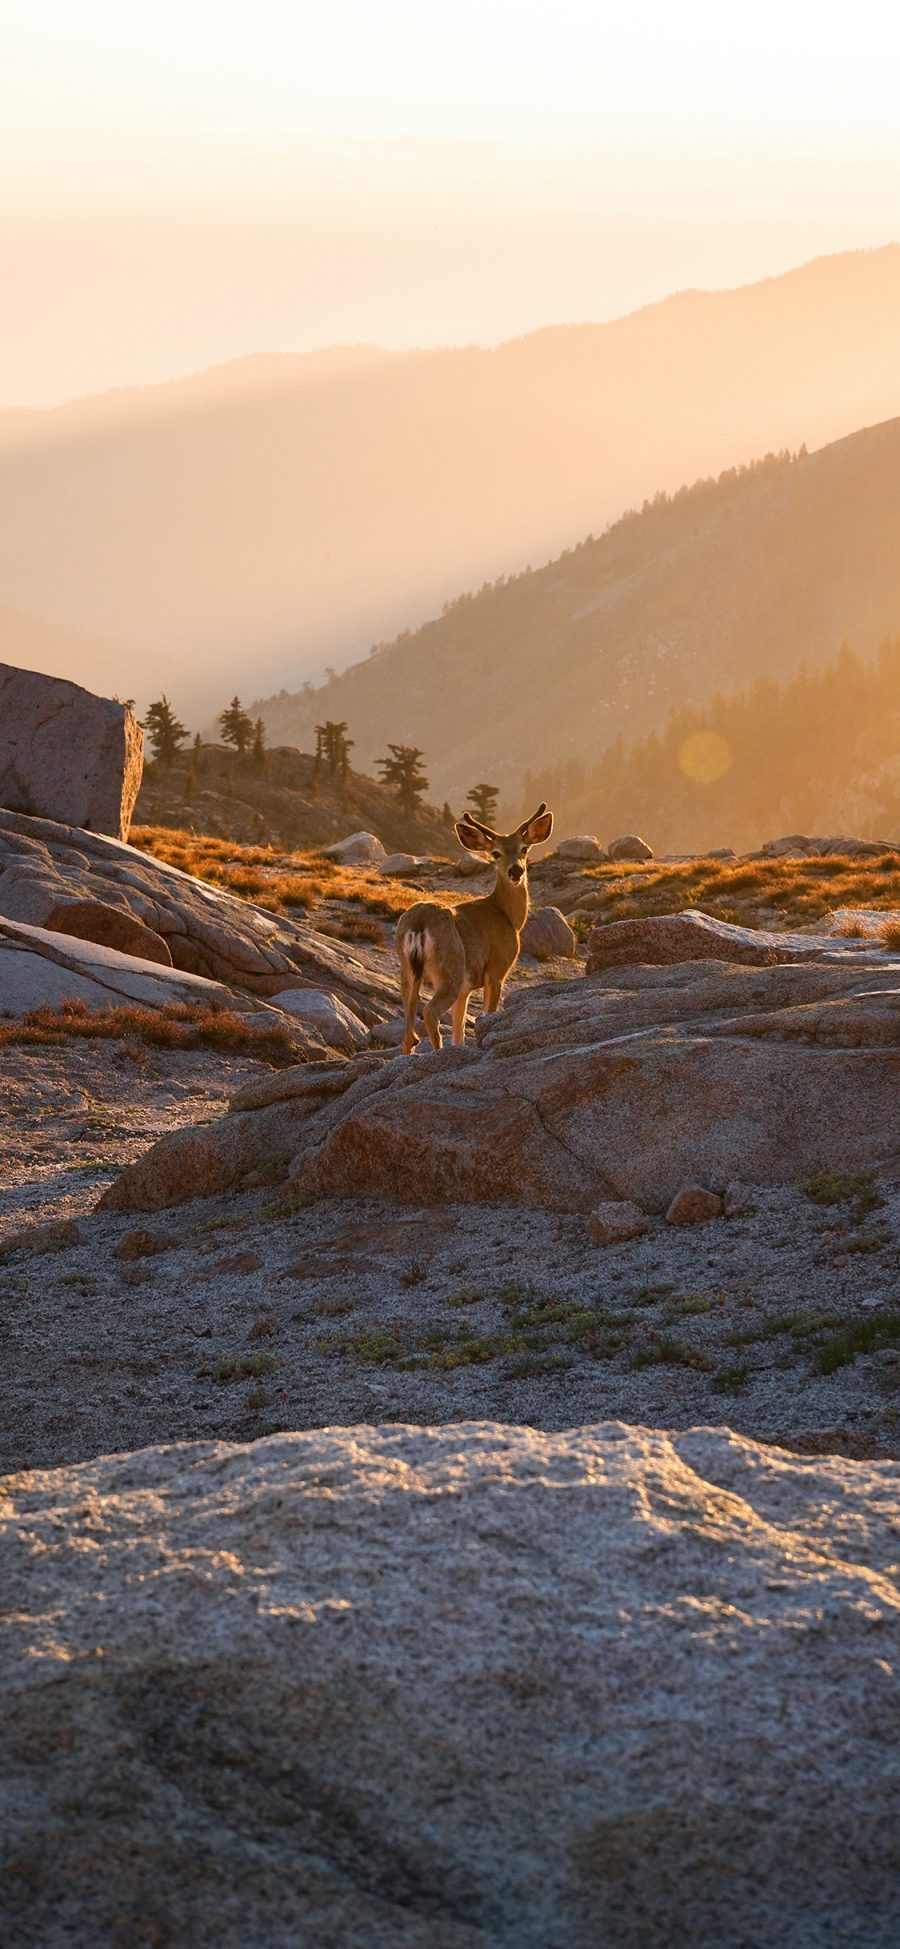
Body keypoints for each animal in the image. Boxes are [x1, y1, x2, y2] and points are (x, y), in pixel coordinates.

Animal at [395, 802, 553, 1060]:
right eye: (496, 853)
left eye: (524, 848)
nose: (516, 872)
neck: (507, 916)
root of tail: (419, 924)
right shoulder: (497, 970)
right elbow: (487, 1014)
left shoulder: (466, 989)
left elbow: (458, 1032)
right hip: (451, 968)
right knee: (430, 1011)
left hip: (407, 970)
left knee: (409, 1024)